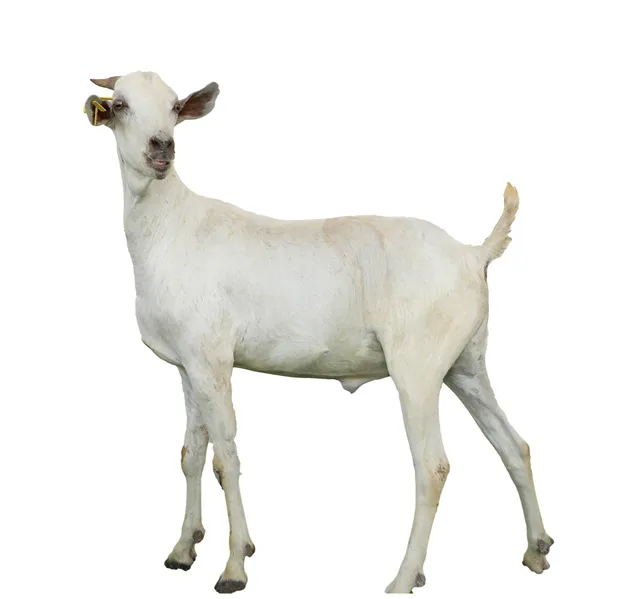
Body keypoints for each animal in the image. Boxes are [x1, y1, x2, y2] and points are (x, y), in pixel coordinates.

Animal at [84, 71, 553, 594]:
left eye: (173, 107)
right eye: (120, 105)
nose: (161, 147)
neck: (169, 227)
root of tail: (474, 254)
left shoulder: (213, 360)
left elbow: (226, 458)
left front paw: (235, 566)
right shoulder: (188, 365)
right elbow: (192, 453)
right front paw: (184, 550)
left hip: (418, 366)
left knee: (432, 466)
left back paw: (403, 577)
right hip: (466, 363)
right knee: (514, 445)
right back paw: (536, 550)